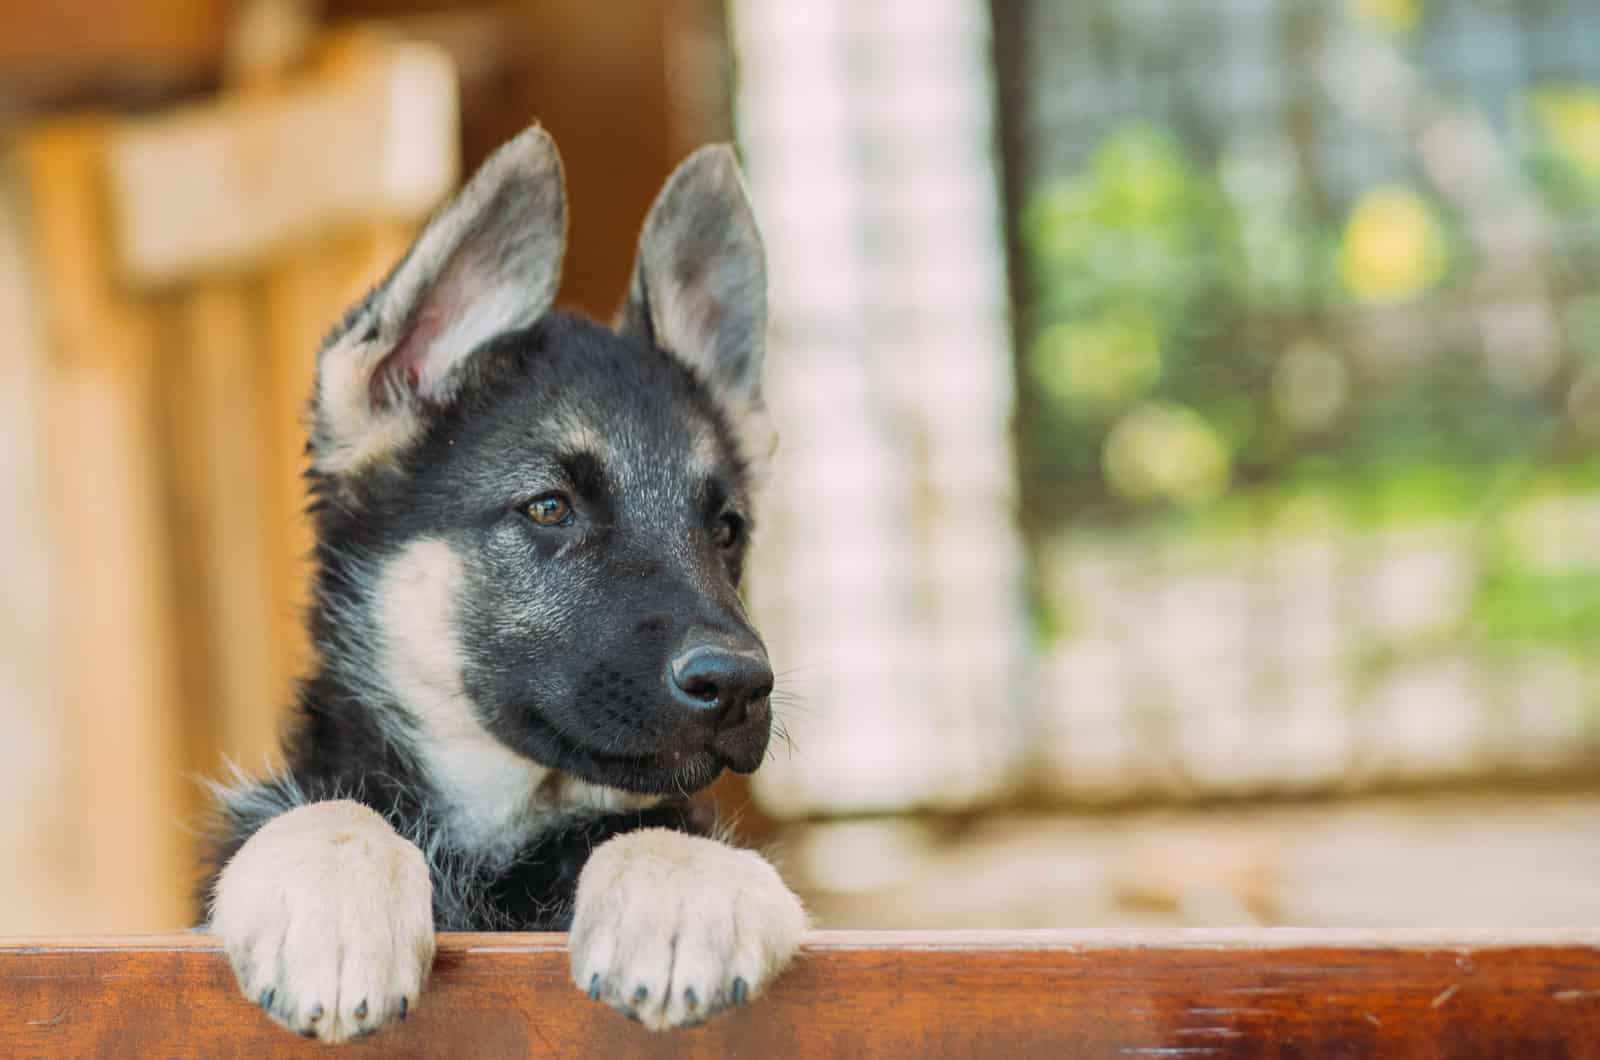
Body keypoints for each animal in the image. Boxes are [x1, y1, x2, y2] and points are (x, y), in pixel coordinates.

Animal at [206, 126, 806, 1043]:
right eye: (549, 507)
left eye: (727, 530)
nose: (740, 684)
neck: (493, 841)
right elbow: (330, 812)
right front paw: (333, 908)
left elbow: (658, 828)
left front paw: (681, 890)